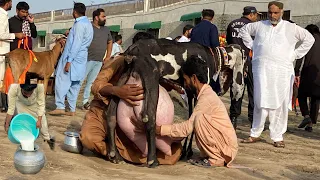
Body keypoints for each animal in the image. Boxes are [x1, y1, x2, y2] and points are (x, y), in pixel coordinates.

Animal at [104, 33, 245, 167]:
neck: (212, 56)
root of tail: (132, 50)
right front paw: (187, 152)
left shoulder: (190, 92)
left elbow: (191, 117)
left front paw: (186, 151)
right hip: (151, 77)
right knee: (149, 116)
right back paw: (152, 160)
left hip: (124, 77)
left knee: (111, 114)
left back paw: (115, 156)